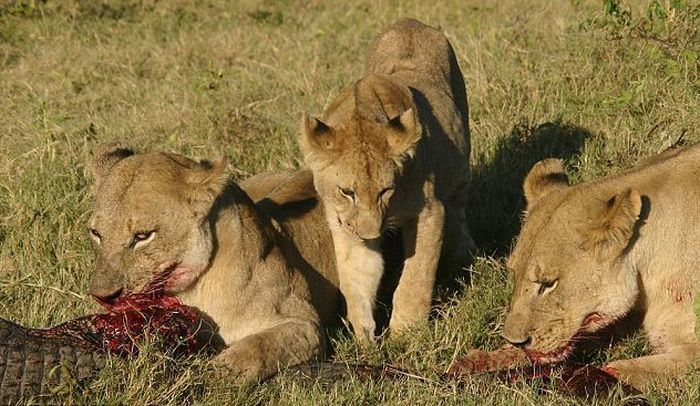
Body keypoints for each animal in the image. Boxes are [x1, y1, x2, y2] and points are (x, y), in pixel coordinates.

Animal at [298, 18, 474, 340]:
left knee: (459, 206)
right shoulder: (345, 226)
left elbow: (416, 276)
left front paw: (406, 334)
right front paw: (364, 337)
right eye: (347, 192)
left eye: (386, 190)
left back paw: (464, 251)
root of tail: (411, 22)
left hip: (460, 160)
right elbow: (356, 280)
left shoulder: (429, 211)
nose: (370, 235)